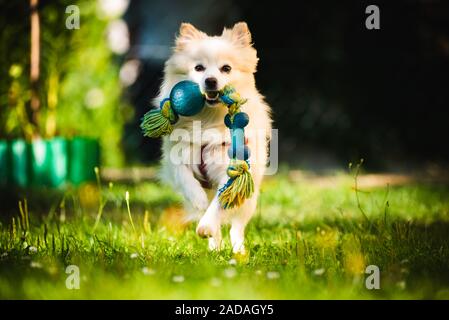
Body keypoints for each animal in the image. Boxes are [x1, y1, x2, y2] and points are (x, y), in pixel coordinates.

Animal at [154, 21, 272, 255]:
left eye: (226, 68)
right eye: (198, 68)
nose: (210, 80)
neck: (207, 120)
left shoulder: (232, 169)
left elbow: (219, 202)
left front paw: (206, 225)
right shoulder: (177, 156)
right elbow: (184, 177)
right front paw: (198, 200)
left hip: (249, 200)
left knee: (237, 227)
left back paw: (238, 251)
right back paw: (214, 248)